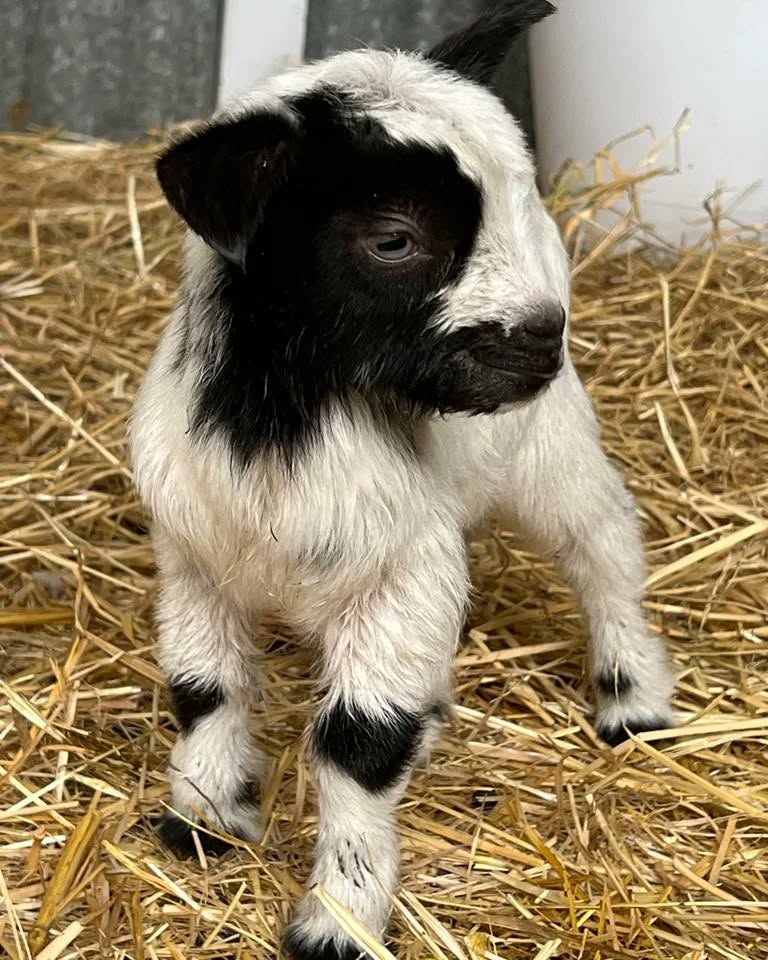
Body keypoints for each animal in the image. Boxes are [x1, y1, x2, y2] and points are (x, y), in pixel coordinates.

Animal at [130, 2, 675, 956]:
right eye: (394, 239)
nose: (538, 339)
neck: (282, 421)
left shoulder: (399, 570)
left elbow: (358, 743)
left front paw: (339, 920)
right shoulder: (196, 558)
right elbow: (204, 690)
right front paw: (202, 818)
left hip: (547, 444)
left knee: (604, 543)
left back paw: (633, 697)